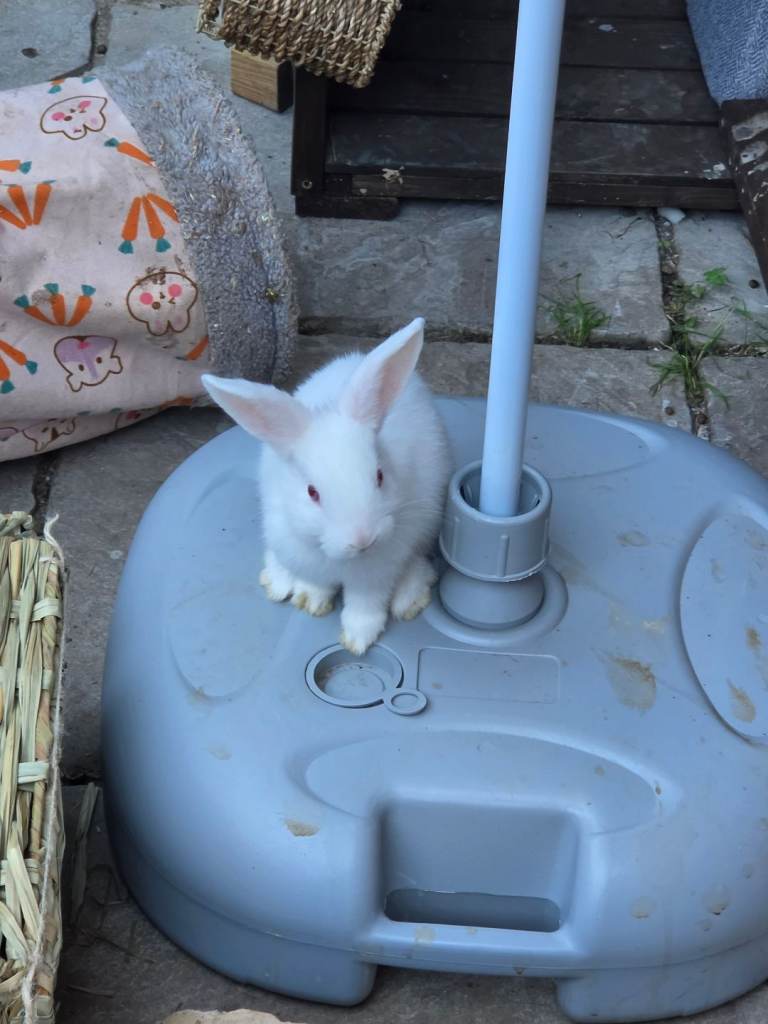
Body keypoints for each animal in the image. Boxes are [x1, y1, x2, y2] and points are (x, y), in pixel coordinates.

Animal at [202, 318, 451, 655]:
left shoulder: (376, 575)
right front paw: (310, 602)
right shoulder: (305, 559)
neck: (339, 560)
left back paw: (408, 599)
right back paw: (277, 581)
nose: (363, 540)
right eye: (312, 492)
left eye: (379, 476)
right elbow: (316, 584)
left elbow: (364, 607)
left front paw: (358, 640)